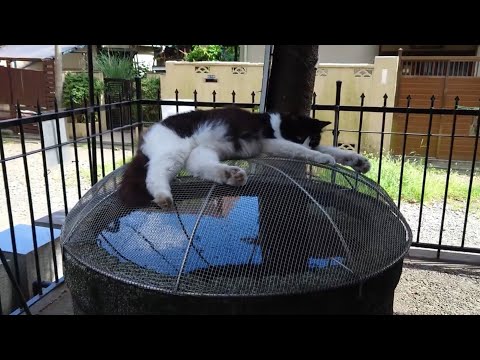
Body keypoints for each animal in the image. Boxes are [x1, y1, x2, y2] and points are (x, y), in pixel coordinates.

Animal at [120, 107, 372, 207]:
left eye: (314, 138)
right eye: (300, 136)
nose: (309, 143)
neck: (274, 123)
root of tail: (149, 134)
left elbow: (332, 149)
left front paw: (358, 161)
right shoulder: (271, 142)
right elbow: (299, 151)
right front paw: (320, 158)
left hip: (201, 152)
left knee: (201, 167)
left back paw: (231, 174)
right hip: (174, 151)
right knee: (154, 174)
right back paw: (163, 196)